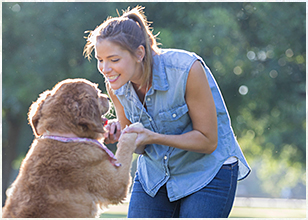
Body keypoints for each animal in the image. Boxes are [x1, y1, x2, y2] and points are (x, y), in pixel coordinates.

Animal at [1, 78, 140, 217]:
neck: (65, 136)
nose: (107, 97)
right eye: (97, 92)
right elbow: (124, 147)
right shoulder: (115, 184)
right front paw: (133, 129)